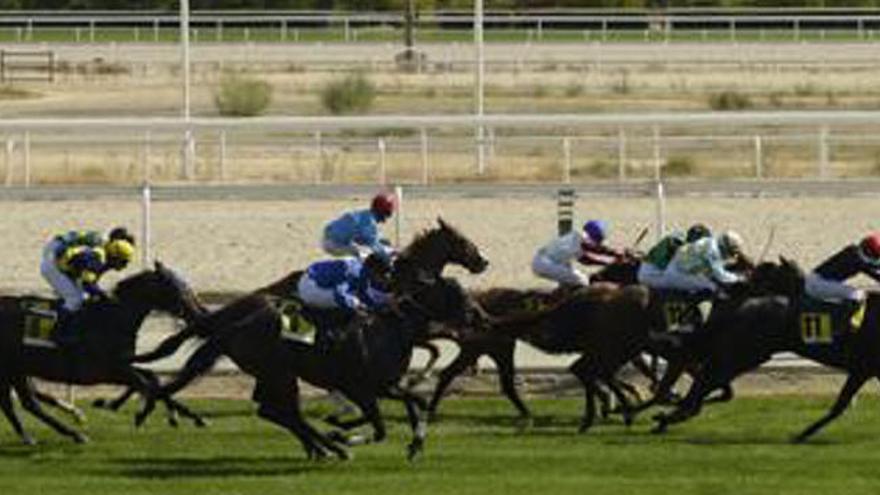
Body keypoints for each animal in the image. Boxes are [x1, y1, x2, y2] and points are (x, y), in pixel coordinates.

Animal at [0, 264, 206, 446]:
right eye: (177, 287)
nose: (200, 313)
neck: (112, 319)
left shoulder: (122, 365)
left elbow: (151, 378)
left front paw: (177, 415)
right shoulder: (108, 370)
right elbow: (149, 386)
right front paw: (188, 416)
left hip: (15, 370)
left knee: (21, 403)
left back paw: (43, 434)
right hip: (13, 368)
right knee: (27, 403)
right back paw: (72, 433)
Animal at [648, 258, 880, 444]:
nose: (736, 286)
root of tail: (744, 306)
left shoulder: (864, 370)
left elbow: (840, 405)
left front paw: (803, 434)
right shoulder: (863, 368)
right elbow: (839, 406)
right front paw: (801, 435)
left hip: (745, 354)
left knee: (706, 377)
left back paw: (670, 413)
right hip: (744, 354)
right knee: (708, 378)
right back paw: (668, 415)